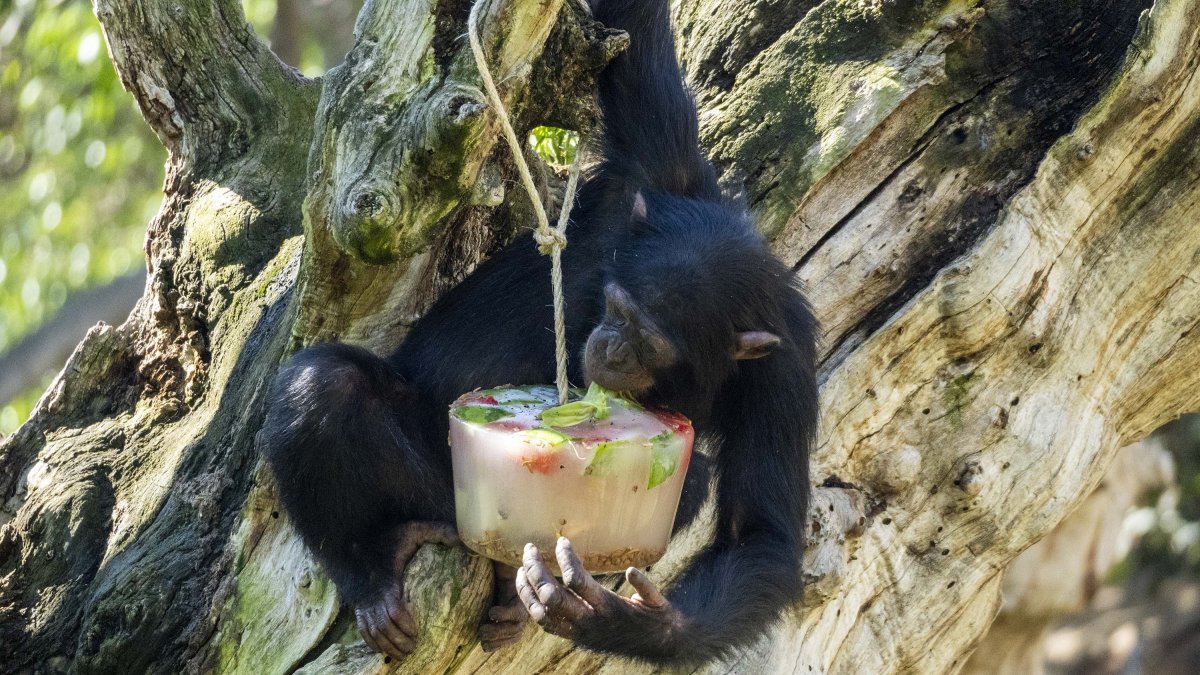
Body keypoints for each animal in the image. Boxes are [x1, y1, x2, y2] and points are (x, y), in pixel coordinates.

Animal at [261, 0, 816, 662]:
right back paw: (371, 567)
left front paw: (622, 623)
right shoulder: (660, 165)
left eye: (650, 344)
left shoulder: (783, 373)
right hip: (441, 489)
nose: (612, 347)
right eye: (618, 308)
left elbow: (760, 534)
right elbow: (637, 38)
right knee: (326, 384)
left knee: (698, 478)